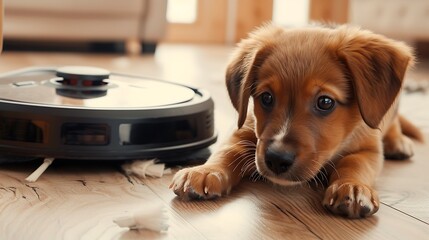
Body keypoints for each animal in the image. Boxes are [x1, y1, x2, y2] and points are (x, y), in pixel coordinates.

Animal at [168, 23, 422, 218]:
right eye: (266, 98)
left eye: (325, 102)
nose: (276, 160)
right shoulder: (246, 128)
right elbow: (227, 150)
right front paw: (205, 171)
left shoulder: (369, 148)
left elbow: (355, 163)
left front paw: (353, 187)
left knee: (394, 123)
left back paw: (398, 142)